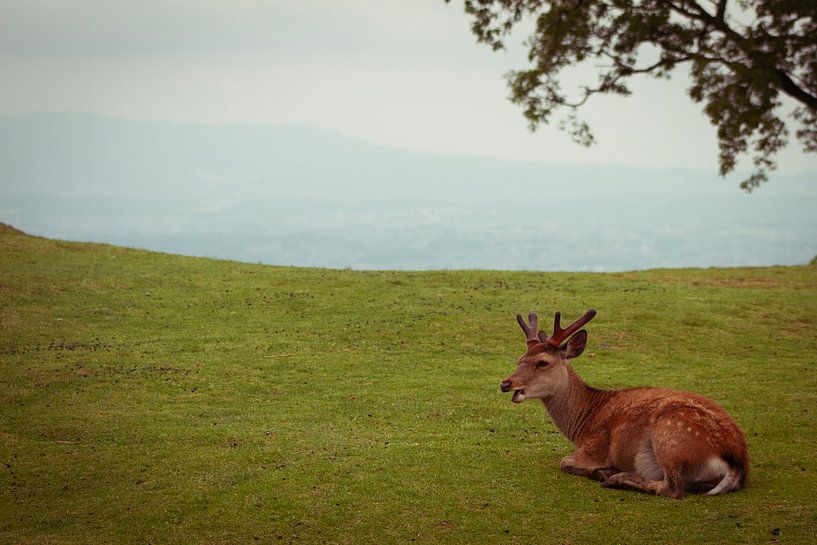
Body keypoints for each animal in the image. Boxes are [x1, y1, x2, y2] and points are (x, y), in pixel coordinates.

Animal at [499, 308, 749, 498]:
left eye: (543, 362)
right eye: (520, 359)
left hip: (670, 435)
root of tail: (737, 463)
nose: (505, 383)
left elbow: (564, 462)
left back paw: (615, 478)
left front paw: (602, 472)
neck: (582, 424)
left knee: (673, 488)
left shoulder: (594, 448)